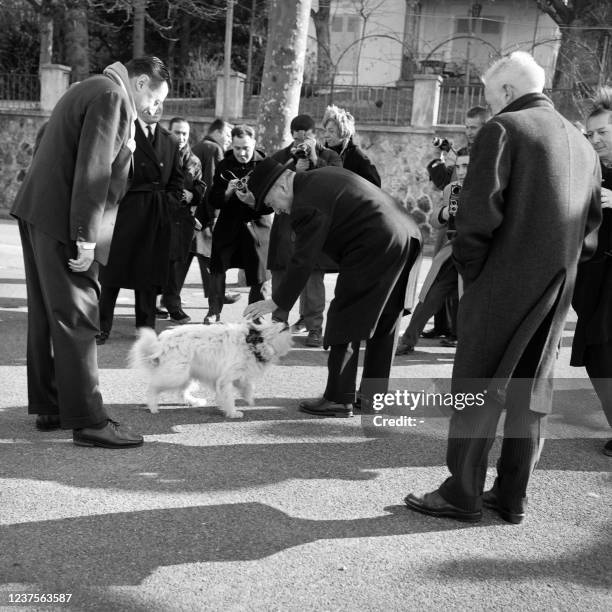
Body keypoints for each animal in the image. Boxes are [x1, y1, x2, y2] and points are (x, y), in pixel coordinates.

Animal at [128, 320, 292, 416]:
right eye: (275, 324)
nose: (286, 323)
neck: (252, 343)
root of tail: (160, 344)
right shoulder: (226, 378)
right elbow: (228, 396)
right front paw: (233, 412)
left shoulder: (239, 374)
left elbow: (247, 385)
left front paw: (248, 397)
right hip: (176, 375)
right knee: (152, 387)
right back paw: (153, 406)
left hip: (186, 373)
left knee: (181, 392)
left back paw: (194, 402)